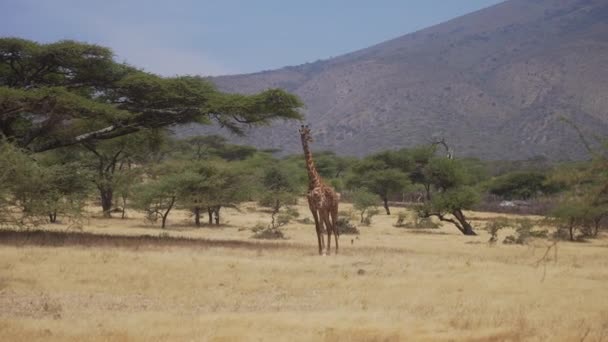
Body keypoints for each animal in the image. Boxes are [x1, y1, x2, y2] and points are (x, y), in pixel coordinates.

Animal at [300, 125, 342, 254]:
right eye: (304, 134)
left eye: (308, 133)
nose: (311, 139)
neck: (313, 181)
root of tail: (336, 194)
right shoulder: (313, 207)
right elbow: (318, 228)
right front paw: (320, 250)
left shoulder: (319, 205)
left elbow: (322, 227)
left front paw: (323, 250)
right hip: (326, 210)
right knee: (329, 227)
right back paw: (328, 250)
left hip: (333, 209)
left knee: (334, 226)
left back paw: (335, 250)